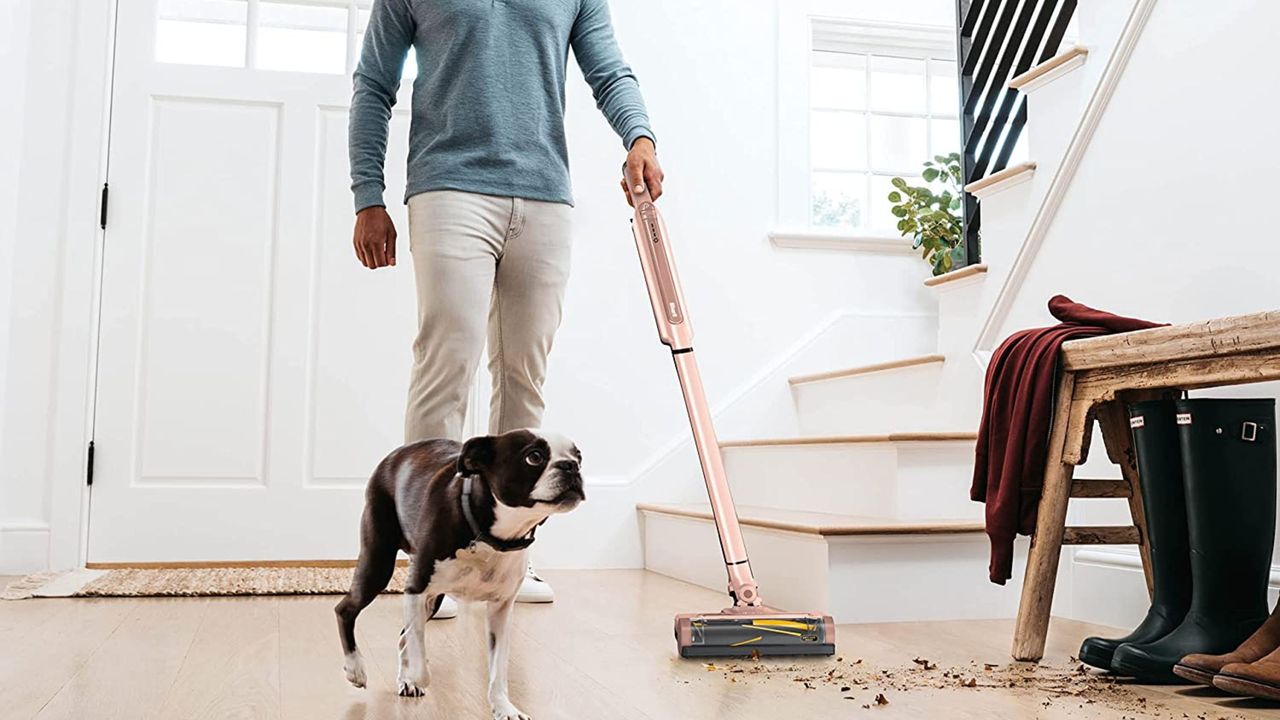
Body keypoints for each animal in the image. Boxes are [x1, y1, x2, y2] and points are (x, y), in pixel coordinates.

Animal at [335, 427, 586, 712]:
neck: (494, 537)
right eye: (533, 457)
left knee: (403, 635)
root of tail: (395, 454)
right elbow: (419, 653)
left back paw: (404, 680)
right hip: (379, 563)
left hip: (432, 599)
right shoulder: (415, 589)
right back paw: (356, 669)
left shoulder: (500, 611)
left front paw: (504, 708)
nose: (571, 466)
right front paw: (418, 675)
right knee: (346, 610)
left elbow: (498, 669)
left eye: (579, 456)